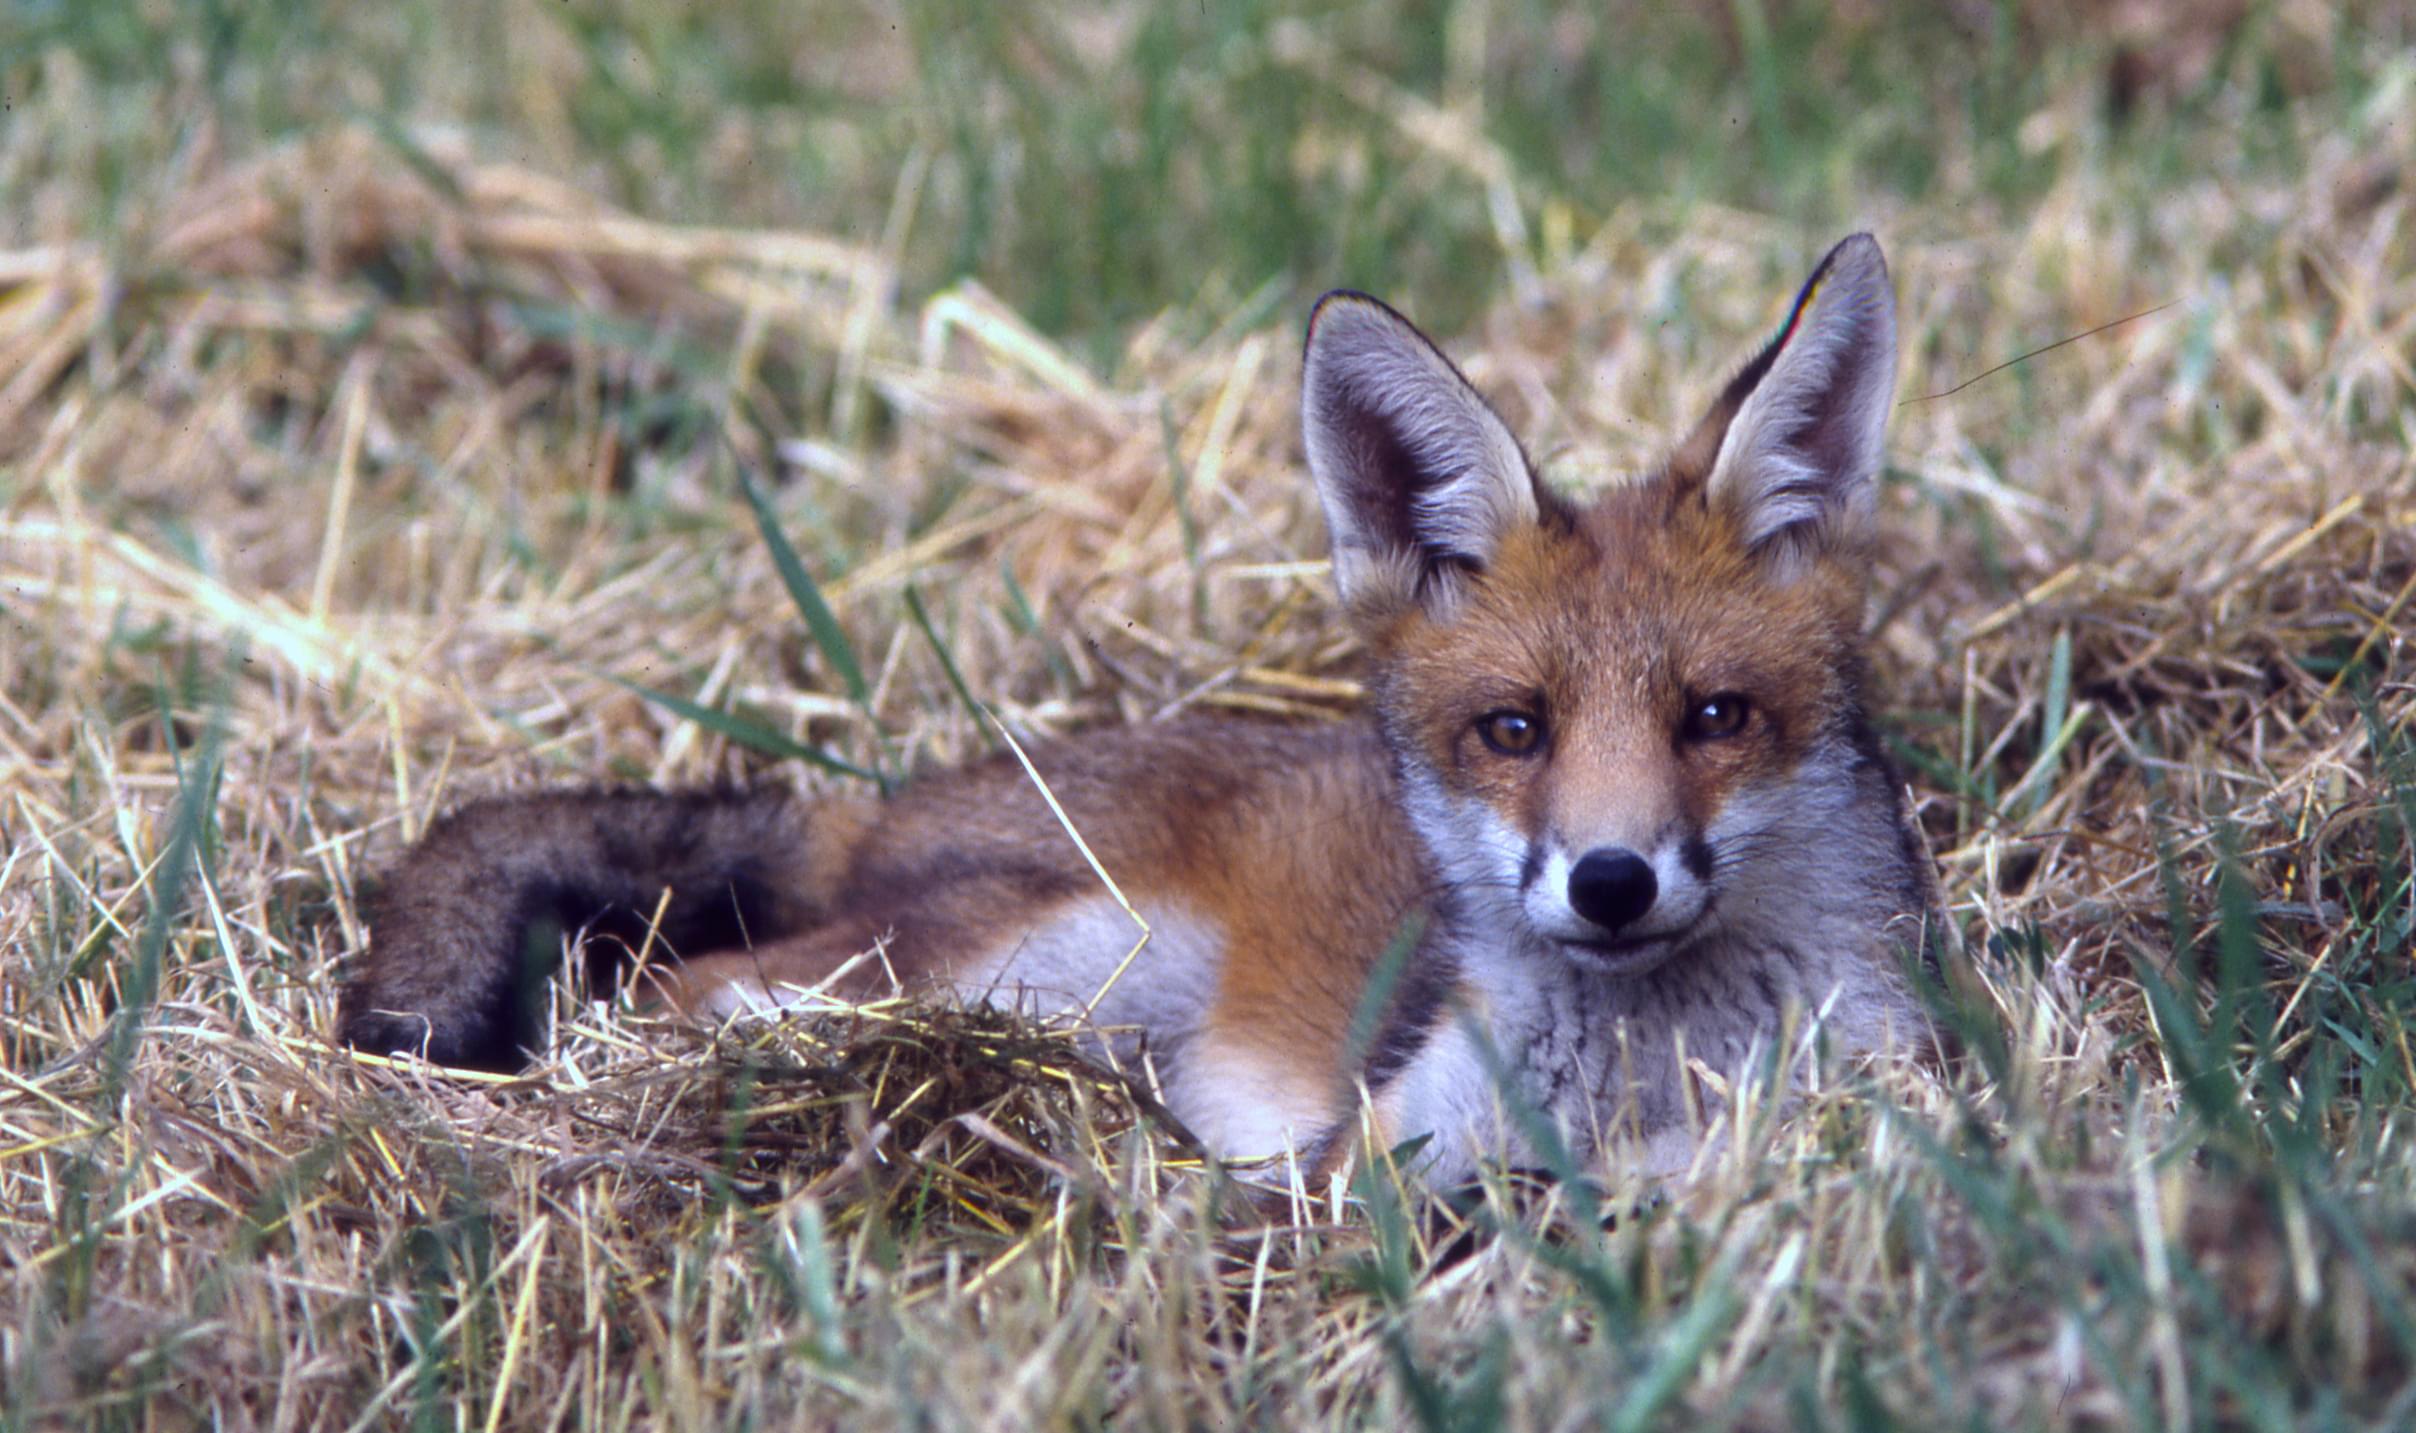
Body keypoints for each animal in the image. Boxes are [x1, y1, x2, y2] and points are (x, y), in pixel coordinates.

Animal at [340, 234, 1939, 1186]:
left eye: (1715, 715)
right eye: (1515, 728)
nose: (1611, 881)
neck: (1645, 1068)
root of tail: (884, 799)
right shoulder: (1369, 1154)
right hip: (1069, 958)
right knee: (678, 992)